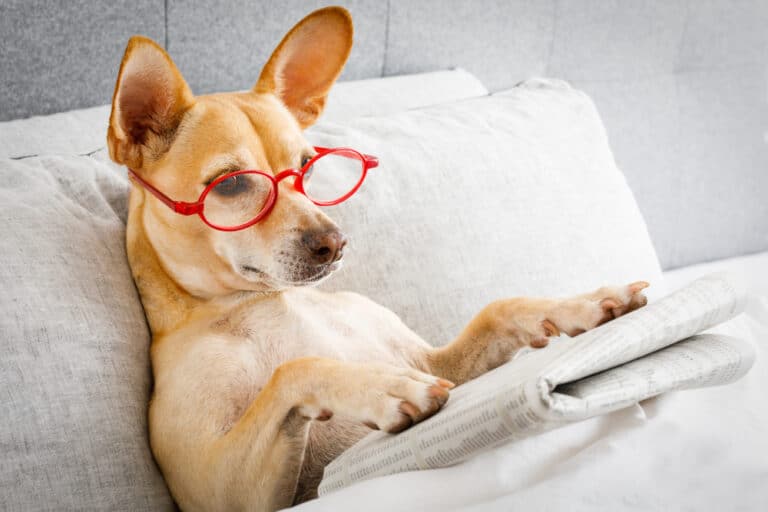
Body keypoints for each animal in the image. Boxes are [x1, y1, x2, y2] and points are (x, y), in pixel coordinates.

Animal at [106, 5, 648, 512]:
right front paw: (383, 386)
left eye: (307, 165)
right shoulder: (220, 493)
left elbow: (499, 308)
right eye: (232, 184)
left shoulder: (442, 362)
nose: (334, 242)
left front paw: (583, 305)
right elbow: (297, 368)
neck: (262, 303)